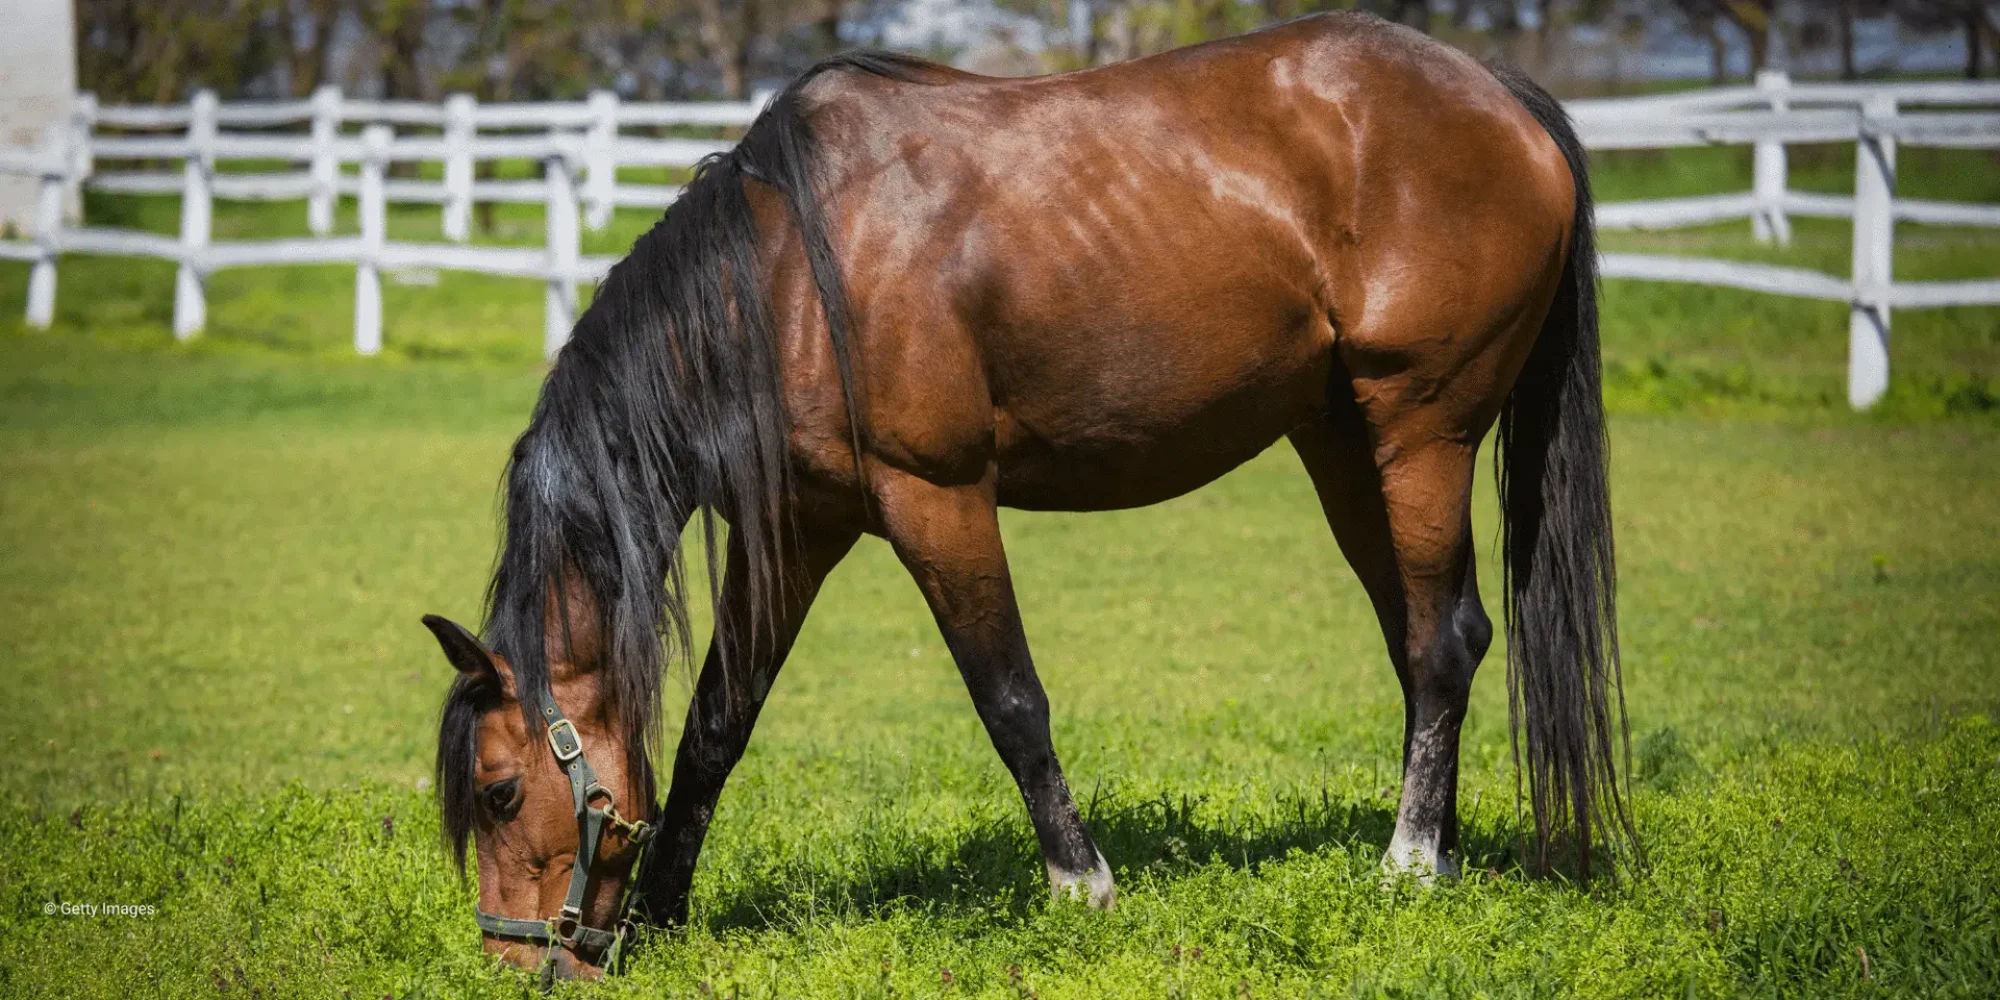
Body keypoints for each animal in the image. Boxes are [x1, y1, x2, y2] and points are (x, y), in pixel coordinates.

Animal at [430, 11, 1632, 980]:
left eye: (498, 792)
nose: (516, 963)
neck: (781, 278)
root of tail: (1498, 95)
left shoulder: (937, 499)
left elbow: (1008, 697)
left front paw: (1079, 886)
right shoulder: (801, 527)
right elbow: (719, 723)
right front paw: (670, 917)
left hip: (1419, 430)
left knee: (1444, 640)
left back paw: (1409, 864)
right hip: (1341, 443)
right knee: (1418, 642)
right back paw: (1439, 845)